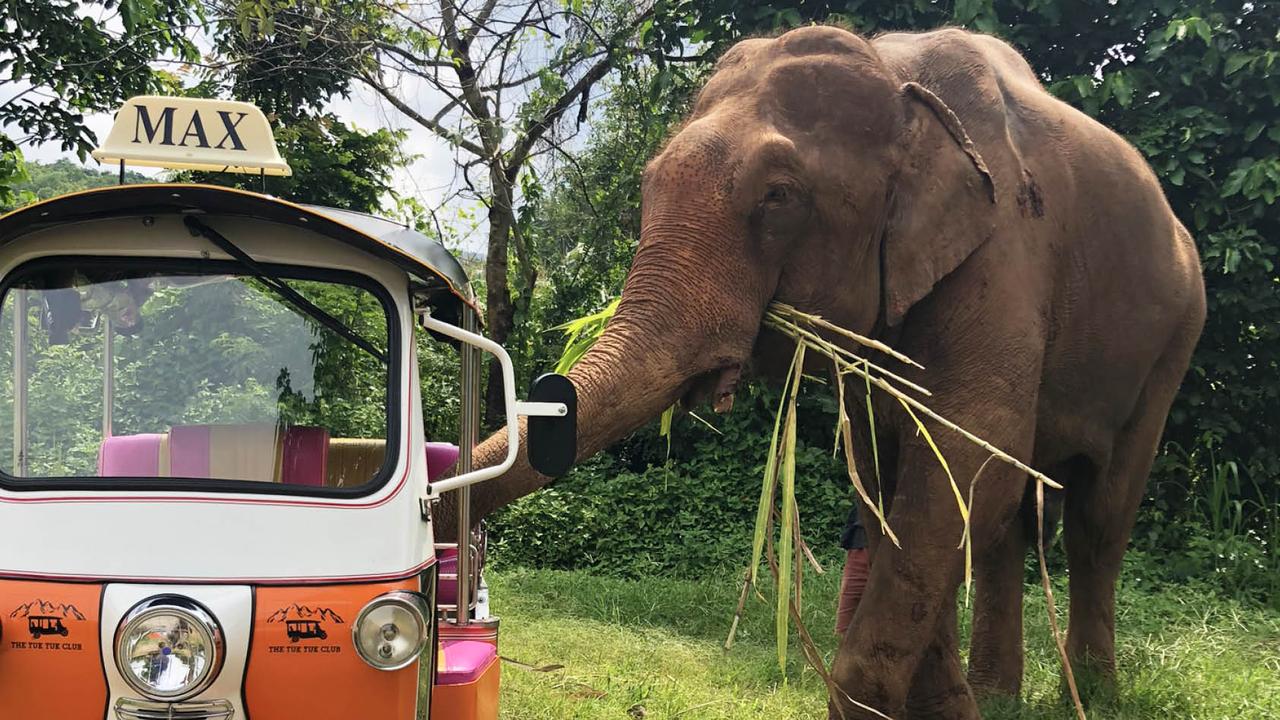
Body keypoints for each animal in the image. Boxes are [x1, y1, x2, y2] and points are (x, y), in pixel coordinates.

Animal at [455, 25, 1203, 712]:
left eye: (779, 197)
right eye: (647, 183)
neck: (895, 74)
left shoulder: (1006, 253)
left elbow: (966, 461)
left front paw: (869, 705)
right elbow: (892, 480)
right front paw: (947, 708)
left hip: (1174, 339)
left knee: (1099, 518)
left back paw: (1097, 697)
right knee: (1011, 526)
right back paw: (997, 699)